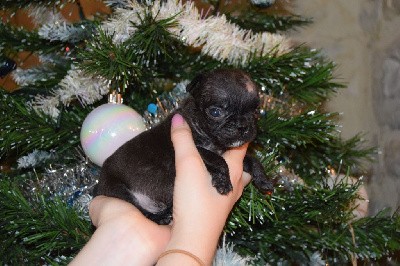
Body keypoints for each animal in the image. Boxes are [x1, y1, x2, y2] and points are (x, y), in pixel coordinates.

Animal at [95, 68, 274, 224]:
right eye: (216, 112)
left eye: (256, 112)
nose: (243, 126)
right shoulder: (199, 150)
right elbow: (218, 160)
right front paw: (223, 181)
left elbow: (252, 159)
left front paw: (263, 180)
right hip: (117, 189)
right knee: (140, 210)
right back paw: (159, 218)